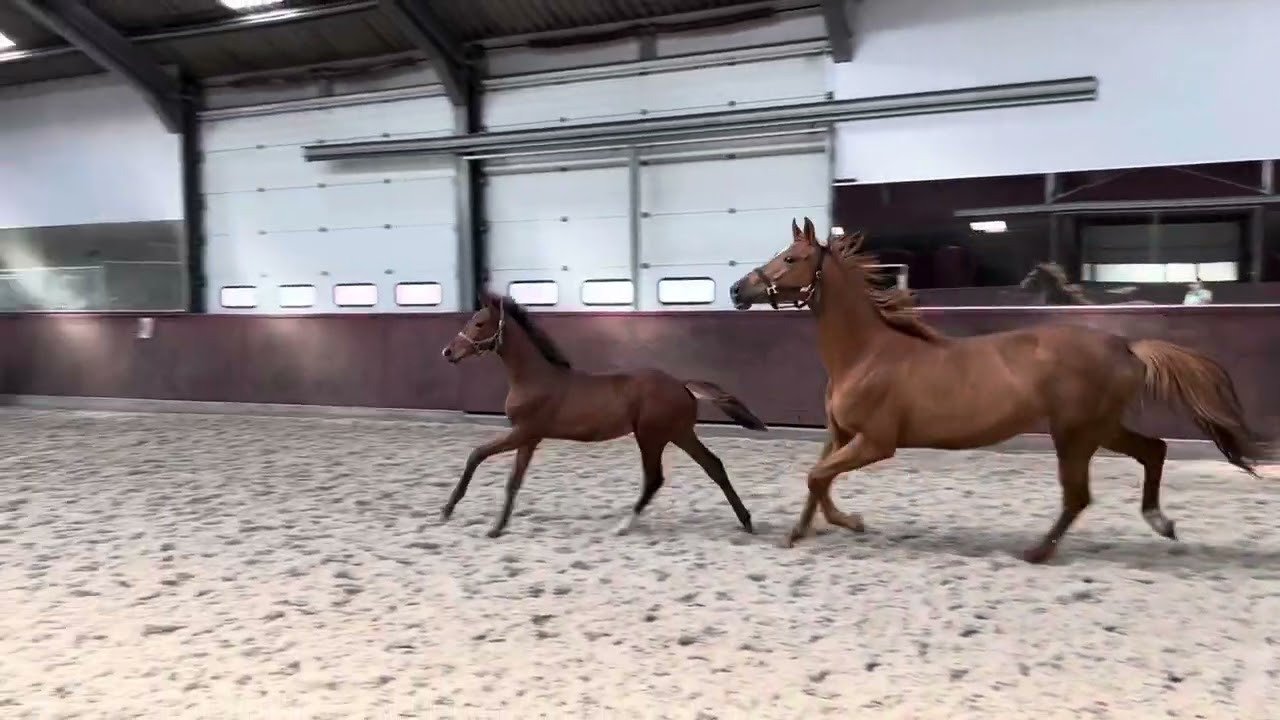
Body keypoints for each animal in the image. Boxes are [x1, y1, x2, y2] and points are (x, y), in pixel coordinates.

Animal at [439, 291, 767, 538]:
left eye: (479, 323)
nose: (448, 352)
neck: (534, 378)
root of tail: (682, 385)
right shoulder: (529, 439)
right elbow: (513, 482)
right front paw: (496, 528)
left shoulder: (524, 432)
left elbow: (477, 455)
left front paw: (448, 510)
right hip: (679, 433)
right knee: (713, 466)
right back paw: (747, 521)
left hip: (651, 436)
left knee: (654, 478)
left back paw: (623, 525)